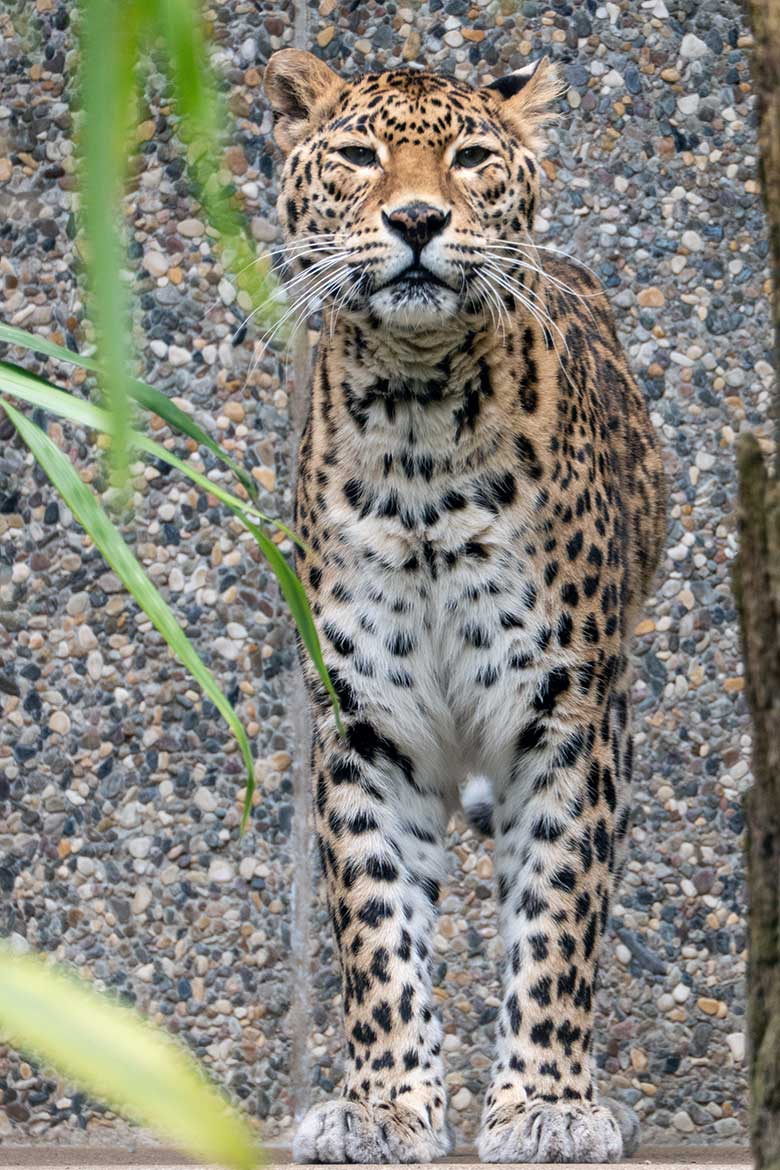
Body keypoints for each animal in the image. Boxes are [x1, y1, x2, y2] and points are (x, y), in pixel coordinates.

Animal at [265, 50, 668, 1165]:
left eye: (474, 156)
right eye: (360, 155)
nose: (416, 219)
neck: (418, 428)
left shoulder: (569, 714)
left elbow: (559, 915)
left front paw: (546, 1107)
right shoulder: (365, 721)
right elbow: (375, 926)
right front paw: (382, 1105)